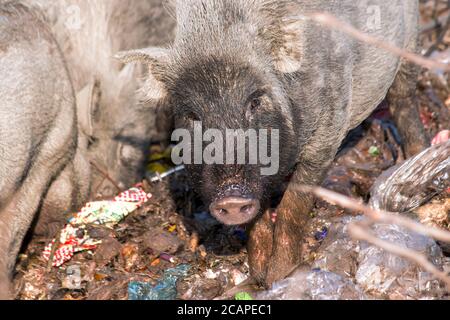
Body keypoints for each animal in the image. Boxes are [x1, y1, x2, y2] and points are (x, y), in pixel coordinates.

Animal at [118, 0, 428, 286]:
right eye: (193, 115)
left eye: (255, 102)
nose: (231, 197)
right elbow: (257, 216)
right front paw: (258, 278)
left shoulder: (328, 133)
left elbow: (293, 206)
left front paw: (281, 277)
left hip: (411, 40)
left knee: (404, 97)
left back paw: (418, 157)